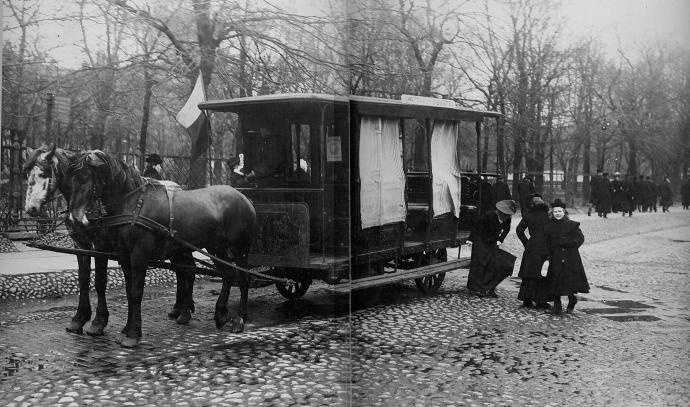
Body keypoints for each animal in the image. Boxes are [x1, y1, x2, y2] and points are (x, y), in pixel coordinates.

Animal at [62, 150, 253, 348]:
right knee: (228, 274)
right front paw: (127, 330)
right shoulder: (125, 256)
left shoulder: (138, 256)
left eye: (84, 178)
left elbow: (136, 293)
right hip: (216, 248)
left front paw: (132, 334)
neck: (133, 204)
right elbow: (129, 292)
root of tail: (243, 197)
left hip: (240, 249)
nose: (73, 219)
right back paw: (220, 314)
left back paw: (239, 318)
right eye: (68, 179)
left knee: (243, 279)